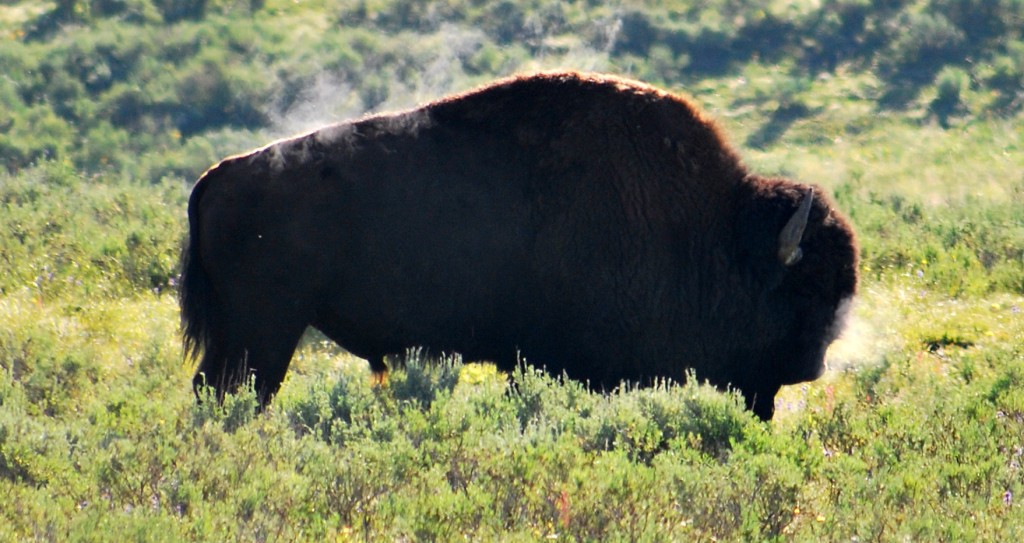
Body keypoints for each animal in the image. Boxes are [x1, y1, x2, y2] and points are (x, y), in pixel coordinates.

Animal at [180, 71, 858, 421]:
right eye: (806, 289)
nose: (811, 367)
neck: (708, 229)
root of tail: (215, 177)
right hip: (266, 329)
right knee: (239, 391)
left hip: (247, 332)